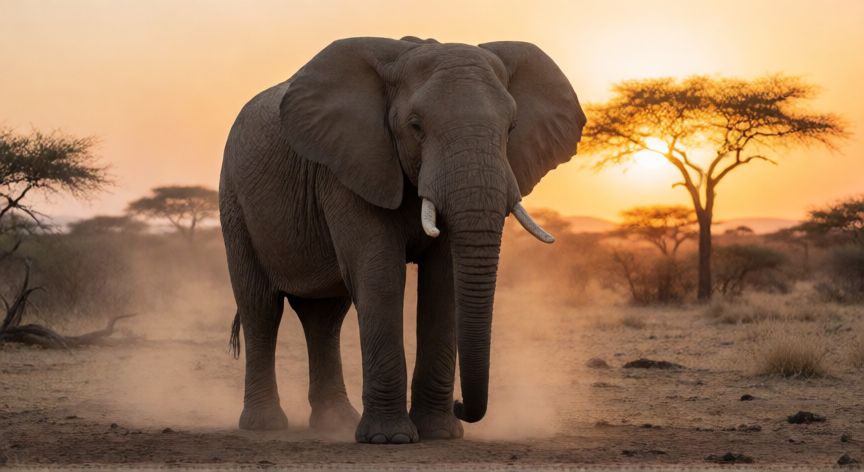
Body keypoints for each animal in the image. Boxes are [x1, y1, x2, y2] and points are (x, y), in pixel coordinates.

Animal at [220, 36, 585, 444]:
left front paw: (439, 433)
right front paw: (389, 439)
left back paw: (335, 423)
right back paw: (265, 424)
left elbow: (443, 283)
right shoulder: (352, 166)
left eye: (511, 128)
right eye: (416, 127)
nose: (461, 403)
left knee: (325, 317)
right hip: (234, 200)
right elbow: (380, 277)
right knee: (261, 307)